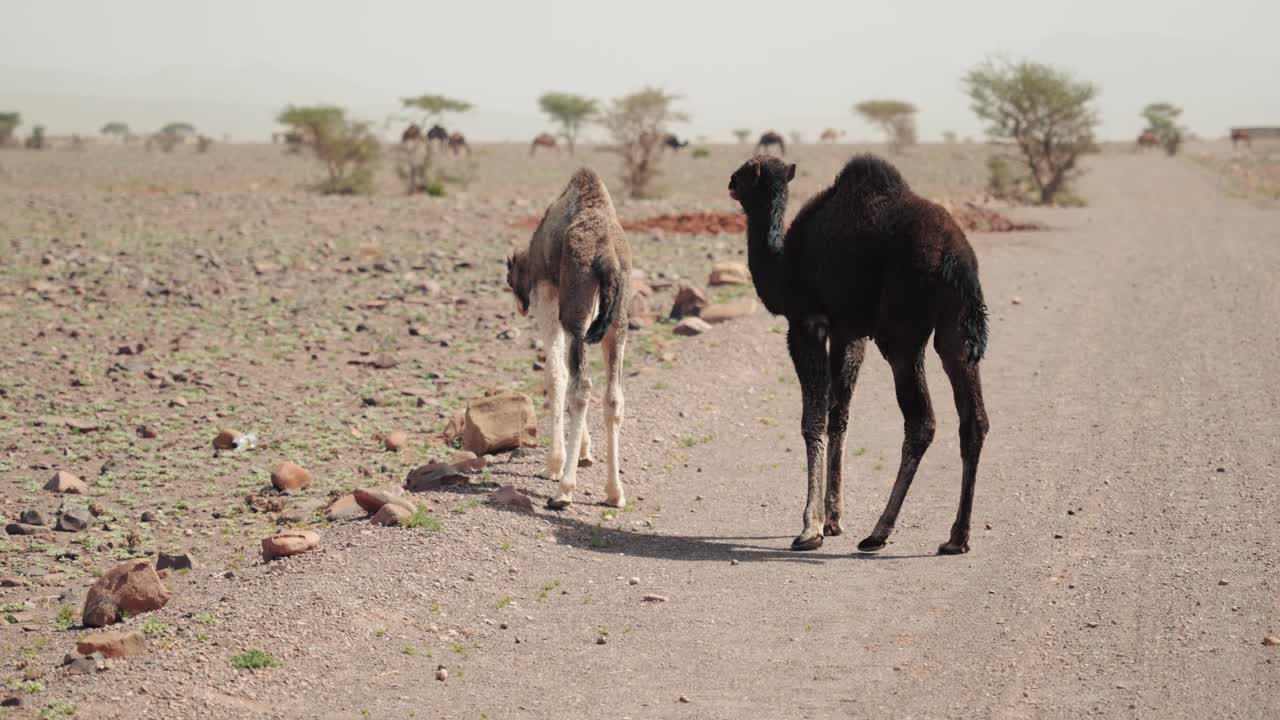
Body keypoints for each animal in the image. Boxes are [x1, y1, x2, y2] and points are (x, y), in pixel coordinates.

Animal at [506, 168, 632, 510]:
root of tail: (608, 257)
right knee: (613, 396)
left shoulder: (548, 297)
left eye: (509, 280)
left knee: (582, 387)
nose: (520, 306)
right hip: (617, 324)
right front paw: (585, 453)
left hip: (577, 314)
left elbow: (556, 375)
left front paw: (554, 464)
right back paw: (614, 493)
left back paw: (564, 489)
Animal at [728, 154, 990, 555]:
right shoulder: (848, 332)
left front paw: (811, 527)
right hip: (955, 330)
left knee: (921, 421)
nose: (729, 182)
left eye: (745, 172)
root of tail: (956, 257)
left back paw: (879, 532)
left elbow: (813, 418)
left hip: (901, 332)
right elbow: (839, 415)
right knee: (973, 419)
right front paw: (833, 518)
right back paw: (956, 538)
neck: (784, 268)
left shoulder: (807, 323)